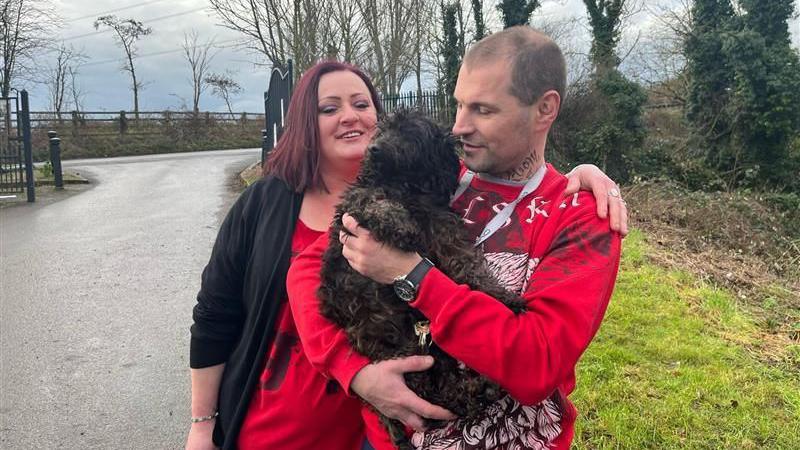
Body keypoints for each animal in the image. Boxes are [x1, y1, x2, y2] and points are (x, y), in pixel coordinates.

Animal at [316, 110, 528, 450]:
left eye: (409, 133)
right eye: (383, 130)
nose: (373, 149)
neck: (406, 186)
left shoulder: (442, 226)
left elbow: (468, 264)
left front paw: (500, 295)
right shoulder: (357, 203)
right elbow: (375, 201)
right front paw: (399, 225)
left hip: (426, 346)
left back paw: (483, 387)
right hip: (395, 348)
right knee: (428, 395)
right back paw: (481, 389)